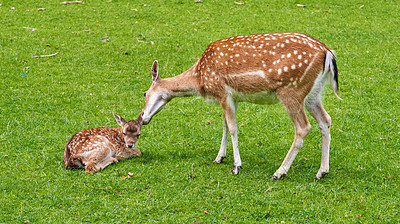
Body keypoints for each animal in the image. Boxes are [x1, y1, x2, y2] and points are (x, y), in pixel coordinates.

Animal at [142, 32, 340, 180]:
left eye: (144, 94)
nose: (143, 117)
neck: (200, 78)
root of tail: (328, 52)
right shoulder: (233, 97)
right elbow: (224, 124)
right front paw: (219, 157)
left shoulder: (222, 91)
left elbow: (232, 127)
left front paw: (236, 166)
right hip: (313, 93)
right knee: (325, 119)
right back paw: (322, 171)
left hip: (292, 90)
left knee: (303, 127)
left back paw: (279, 172)